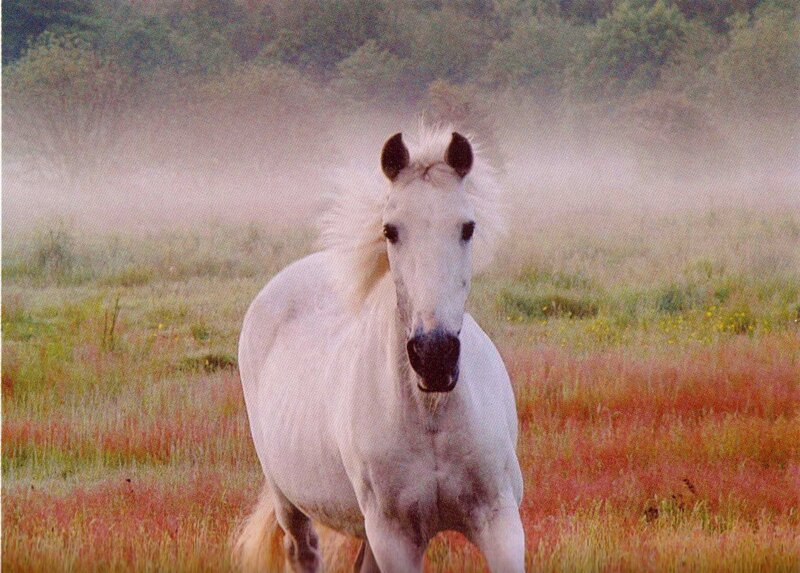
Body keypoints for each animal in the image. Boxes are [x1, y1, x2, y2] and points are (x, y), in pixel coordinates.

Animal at [234, 125, 524, 572]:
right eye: (391, 230)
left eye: (468, 227)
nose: (434, 356)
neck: (432, 416)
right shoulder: (395, 538)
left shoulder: (500, 522)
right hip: (290, 503)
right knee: (302, 551)